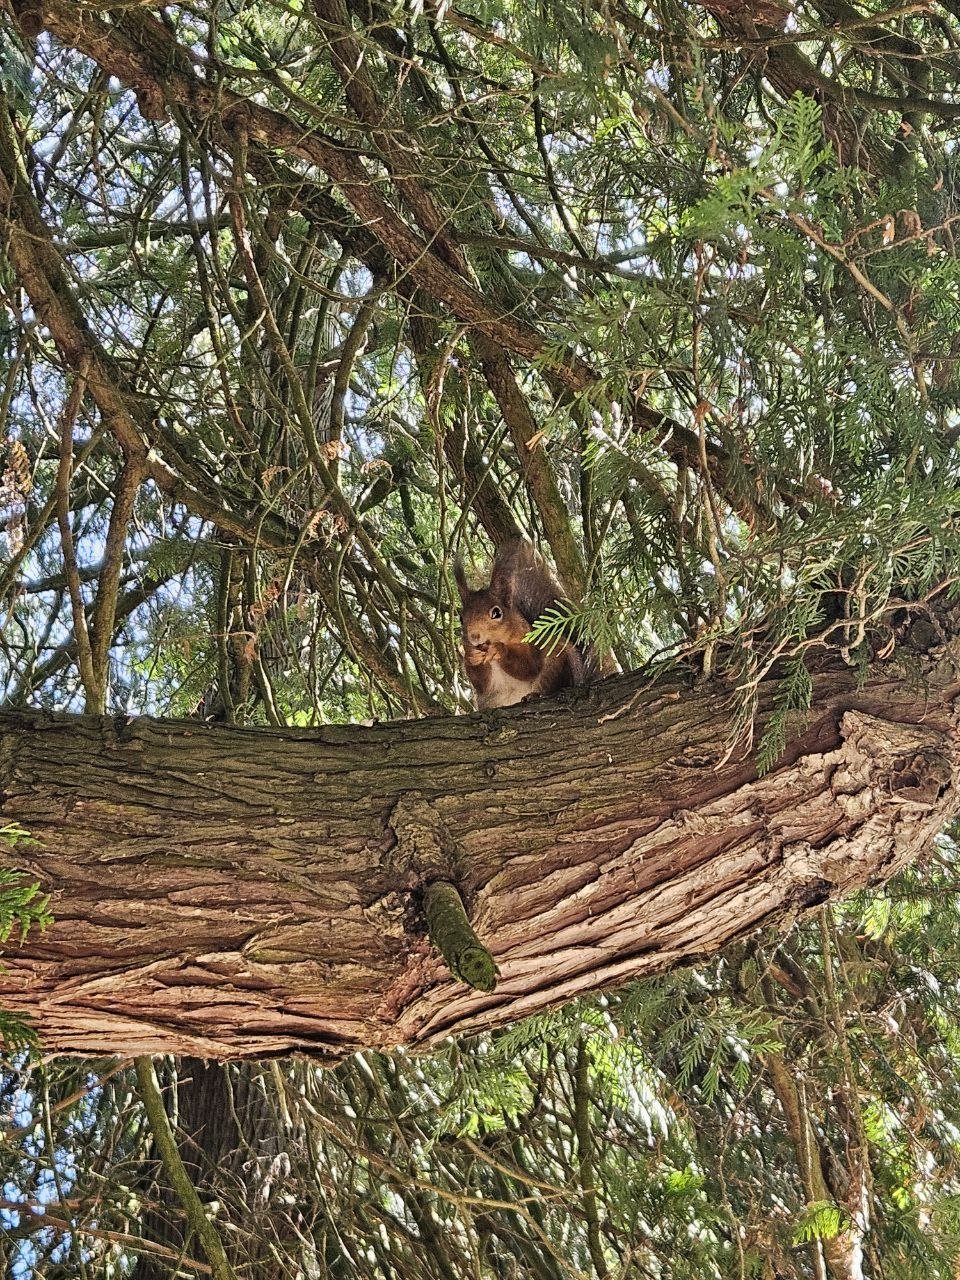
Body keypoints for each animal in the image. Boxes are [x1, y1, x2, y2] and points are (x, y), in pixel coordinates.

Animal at [454, 539, 592, 710]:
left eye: (496, 613)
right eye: (461, 618)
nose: (474, 636)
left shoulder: (530, 641)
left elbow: (529, 667)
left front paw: (500, 650)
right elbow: (481, 683)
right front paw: (471, 656)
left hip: (558, 662)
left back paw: (535, 695)